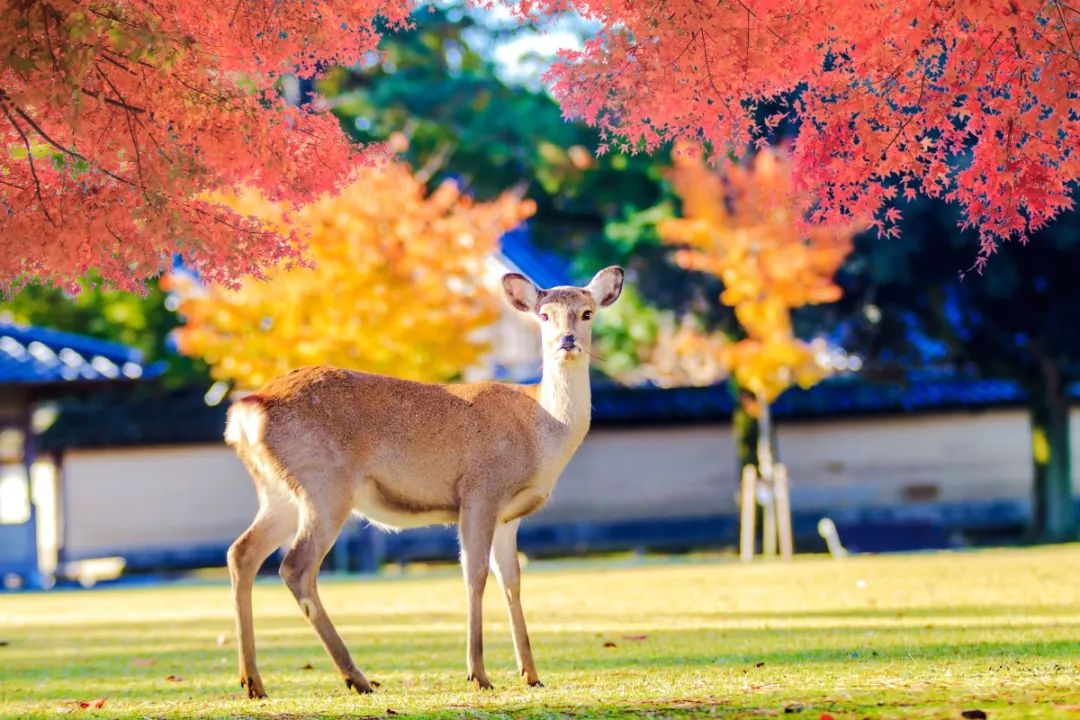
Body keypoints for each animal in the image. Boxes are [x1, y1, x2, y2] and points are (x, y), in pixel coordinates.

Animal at [225, 264, 626, 699]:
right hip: (325, 484)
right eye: (544, 315)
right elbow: (475, 574)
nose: (568, 342)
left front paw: (531, 674)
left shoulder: (509, 515)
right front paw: (478, 674)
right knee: (296, 567)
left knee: (241, 552)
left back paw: (253, 682)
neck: (541, 431)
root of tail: (246, 412)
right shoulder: (480, 491)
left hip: (279, 492)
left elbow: (512, 580)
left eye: (586, 313)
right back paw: (356, 677)